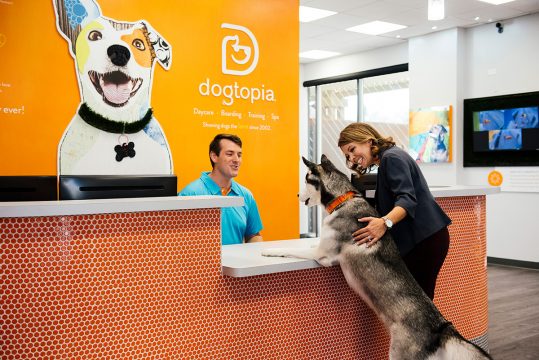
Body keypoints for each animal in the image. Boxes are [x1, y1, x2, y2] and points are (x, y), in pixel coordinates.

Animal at [262, 155, 494, 360]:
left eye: (306, 180)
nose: (296, 196)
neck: (343, 200)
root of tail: (441, 326)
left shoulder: (323, 256)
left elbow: (291, 250)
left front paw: (269, 251)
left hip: (399, 353)